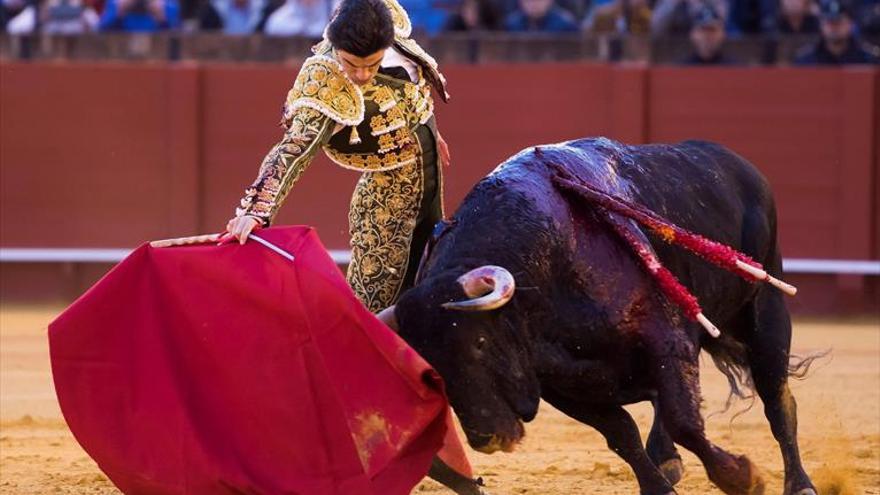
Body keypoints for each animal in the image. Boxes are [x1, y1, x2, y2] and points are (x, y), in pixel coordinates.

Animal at [388, 139, 820, 495]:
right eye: (432, 367)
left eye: (479, 342)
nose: (487, 438)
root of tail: (738, 164)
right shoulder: (561, 384)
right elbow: (621, 433)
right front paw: (659, 487)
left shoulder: (665, 338)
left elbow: (685, 421)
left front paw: (742, 478)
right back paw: (667, 460)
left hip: (767, 313)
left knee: (778, 400)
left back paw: (800, 484)